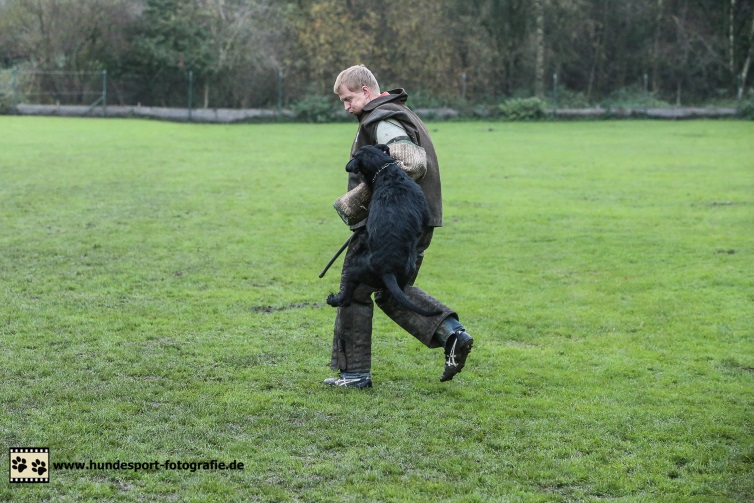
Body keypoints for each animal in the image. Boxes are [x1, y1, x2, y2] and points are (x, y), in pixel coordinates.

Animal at [324, 145, 440, 316]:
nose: (348, 165)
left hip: (353, 269)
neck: (386, 171)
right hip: (407, 272)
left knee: (346, 297)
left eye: (354, 156)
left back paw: (334, 299)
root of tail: (387, 271)